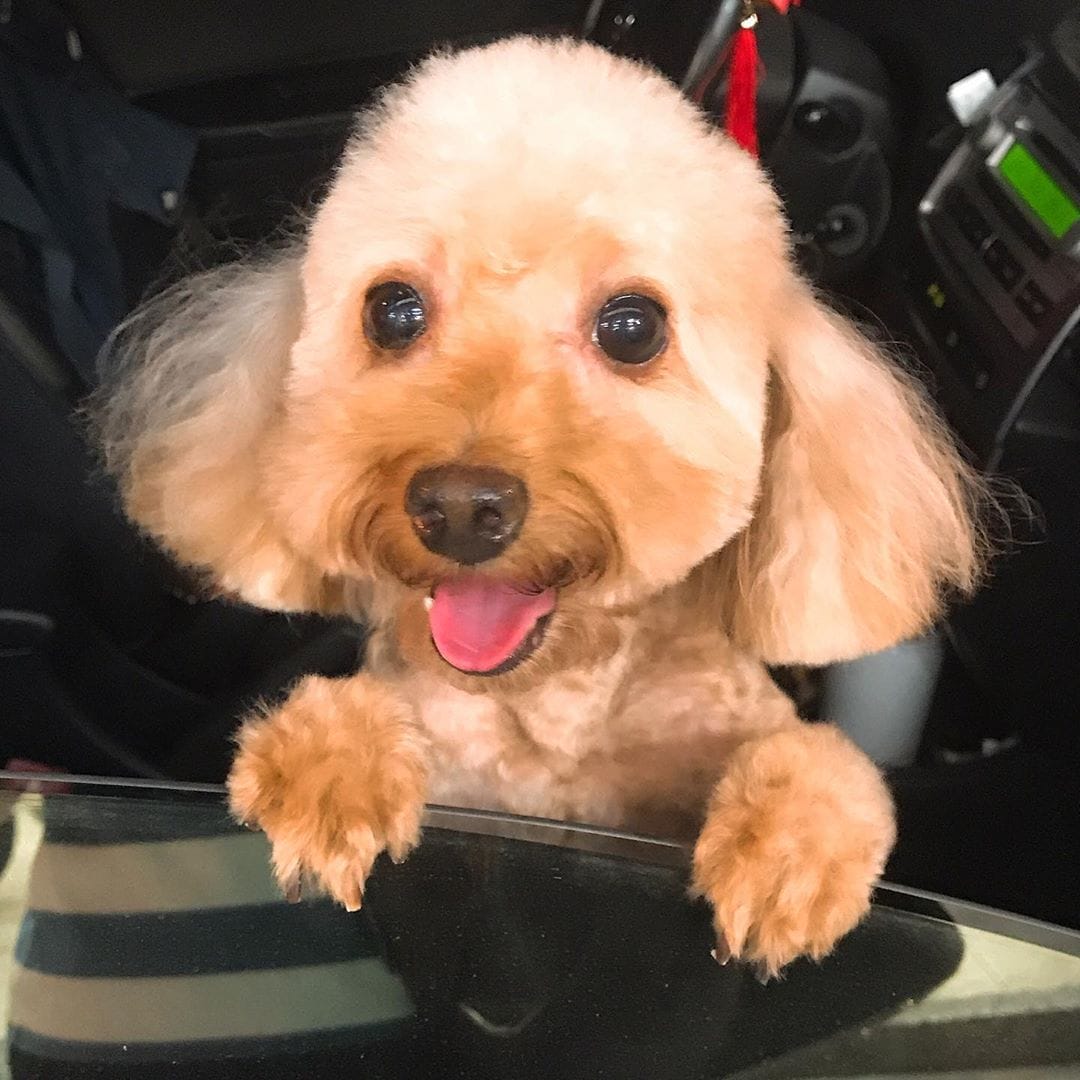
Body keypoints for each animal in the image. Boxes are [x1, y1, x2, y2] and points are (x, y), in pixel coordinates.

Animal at [92, 36, 987, 976]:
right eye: (394, 310)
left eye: (632, 327)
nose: (457, 508)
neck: (555, 702)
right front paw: (329, 779)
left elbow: (823, 766)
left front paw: (785, 858)